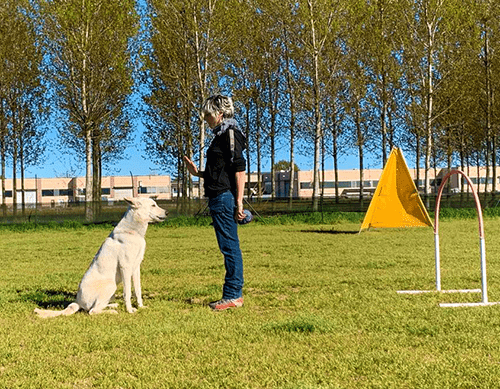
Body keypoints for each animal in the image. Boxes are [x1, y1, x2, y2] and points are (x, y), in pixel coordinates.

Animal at [35, 196, 168, 316]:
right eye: (153, 205)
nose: (167, 212)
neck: (133, 232)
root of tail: (77, 302)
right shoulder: (125, 267)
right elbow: (127, 293)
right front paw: (129, 310)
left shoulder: (136, 268)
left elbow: (137, 290)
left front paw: (141, 306)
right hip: (111, 285)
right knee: (92, 311)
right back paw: (112, 311)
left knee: (97, 307)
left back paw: (113, 305)